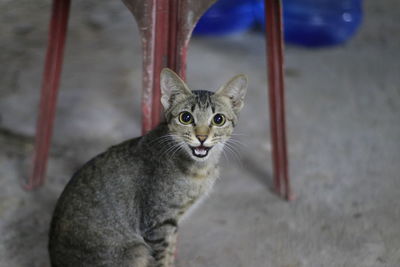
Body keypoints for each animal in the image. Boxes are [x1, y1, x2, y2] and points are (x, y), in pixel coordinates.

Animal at [47, 69, 247, 267]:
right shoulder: (158, 225)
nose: (202, 137)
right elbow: (162, 260)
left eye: (219, 119)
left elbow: (169, 254)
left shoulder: (171, 226)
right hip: (137, 250)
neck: (199, 170)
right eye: (186, 117)